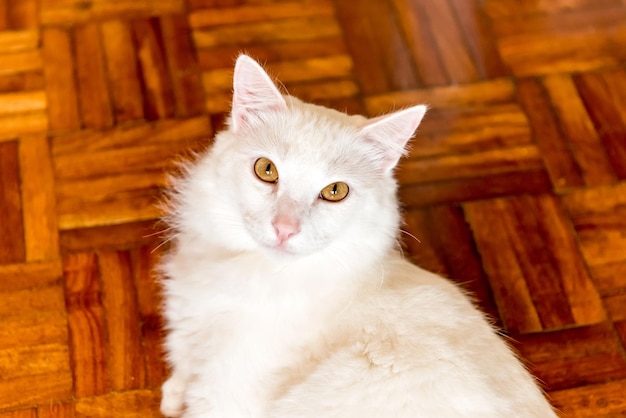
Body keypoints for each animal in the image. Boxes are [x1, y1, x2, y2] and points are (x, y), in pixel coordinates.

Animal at [157, 55, 556, 418]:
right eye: (266, 170)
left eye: (335, 192)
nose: (285, 228)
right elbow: (183, 367)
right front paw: (172, 395)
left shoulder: (227, 394)